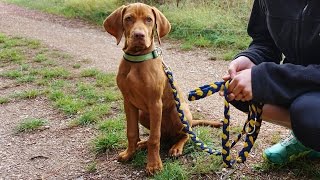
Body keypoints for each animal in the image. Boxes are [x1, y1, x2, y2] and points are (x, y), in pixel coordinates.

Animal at [104, 2, 221, 174]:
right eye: (128, 19)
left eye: (149, 19)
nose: (139, 35)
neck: (137, 60)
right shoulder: (128, 102)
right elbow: (132, 132)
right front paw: (129, 153)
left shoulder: (155, 103)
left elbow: (155, 138)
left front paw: (153, 165)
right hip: (143, 114)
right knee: (163, 136)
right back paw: (143, 143)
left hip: (179, 112)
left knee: (184, 134)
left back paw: (176, 148)